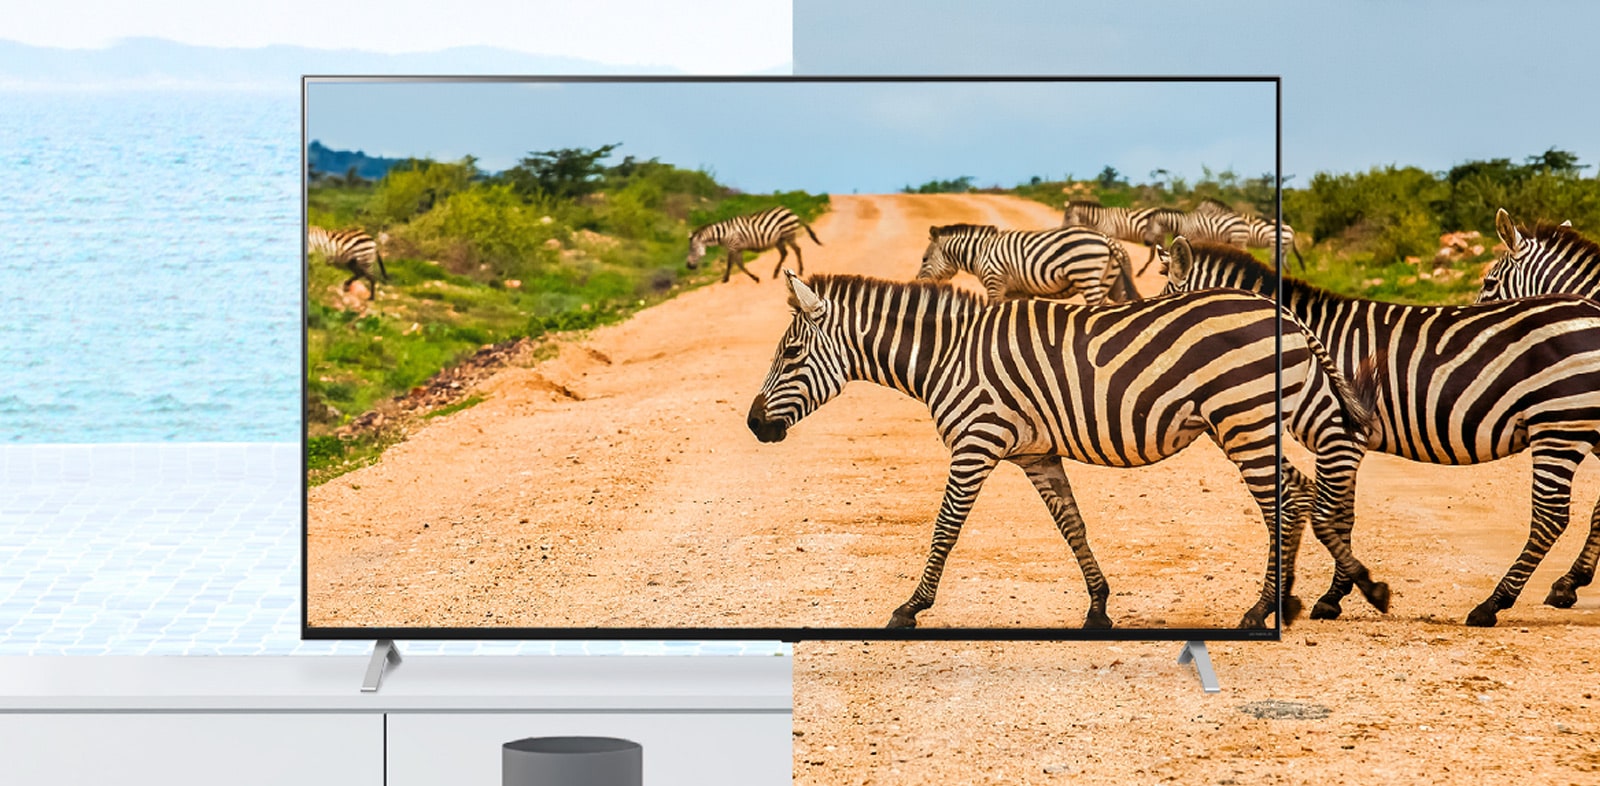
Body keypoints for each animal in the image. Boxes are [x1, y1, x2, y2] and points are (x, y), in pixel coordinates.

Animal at [686, 206, 822, 283]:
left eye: (692, 249)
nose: (689, 266)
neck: (724, 234)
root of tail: (791, 212)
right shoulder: (736, 248)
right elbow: (736, 264)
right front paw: (728, 278)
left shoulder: (733, 246)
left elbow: (734, 264)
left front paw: (753, 278)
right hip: (779, 239)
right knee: (785, 253)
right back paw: (775, 273)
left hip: (788, 235)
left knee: (797, 250)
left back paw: (800, 270)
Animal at [747, 271, 1383, 630]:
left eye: (792, 353)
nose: (753, 425)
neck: (947, 355)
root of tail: (1286, 314)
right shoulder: (1037, 454)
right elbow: (1071, 524)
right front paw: (1099, 607)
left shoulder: (975, 443)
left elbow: (945, 529)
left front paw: (910, 608)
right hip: (1258, 418)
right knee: (1301, 490)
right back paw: (1302, 599)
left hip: (1242, 419)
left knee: (1286, 500)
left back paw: (1268, 608)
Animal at [915, 223, 1141, 305]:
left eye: (924, 259)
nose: (918, 282)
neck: (980, 252)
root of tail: (1106, 238)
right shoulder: (1018, 291)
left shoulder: (994, 282)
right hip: (1111, 281)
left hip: (1085, 274)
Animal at [1159, 236, 1600, 626]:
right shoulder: (1348, 444)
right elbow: (1344, 516)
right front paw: (1337, 594)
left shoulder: (1339, 435)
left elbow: (1328, 516)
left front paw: (1354, 592)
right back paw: (1563, 585)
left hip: (1558, 424)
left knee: (1550, 517)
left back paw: (1492, 604)